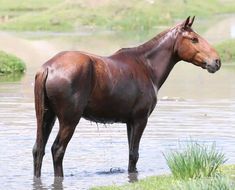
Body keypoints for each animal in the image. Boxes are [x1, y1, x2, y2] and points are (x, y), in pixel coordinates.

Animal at [32, 16, 220, 178]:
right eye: (194, 39)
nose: (216, 61)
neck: (147, 67)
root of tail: (48, 68)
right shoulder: (140, 119)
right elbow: (134, 154)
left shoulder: (130, 121)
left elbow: (131, 153)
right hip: (69, 120)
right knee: (57, 150)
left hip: (47, 116)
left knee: (38, 150)